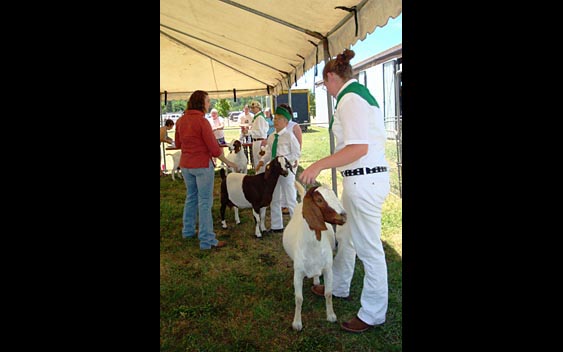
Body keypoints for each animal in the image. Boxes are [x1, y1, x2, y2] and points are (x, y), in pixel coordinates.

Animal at [282, 183, 348, 332]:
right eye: (319, 200)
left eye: (334, 194)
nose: (344, 216)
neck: (313, 246)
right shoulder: (298, 273)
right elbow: (299, 298)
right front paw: (297, 323)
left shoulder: (328, 269)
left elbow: (328, 293)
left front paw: (331, 315)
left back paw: (316, 281)